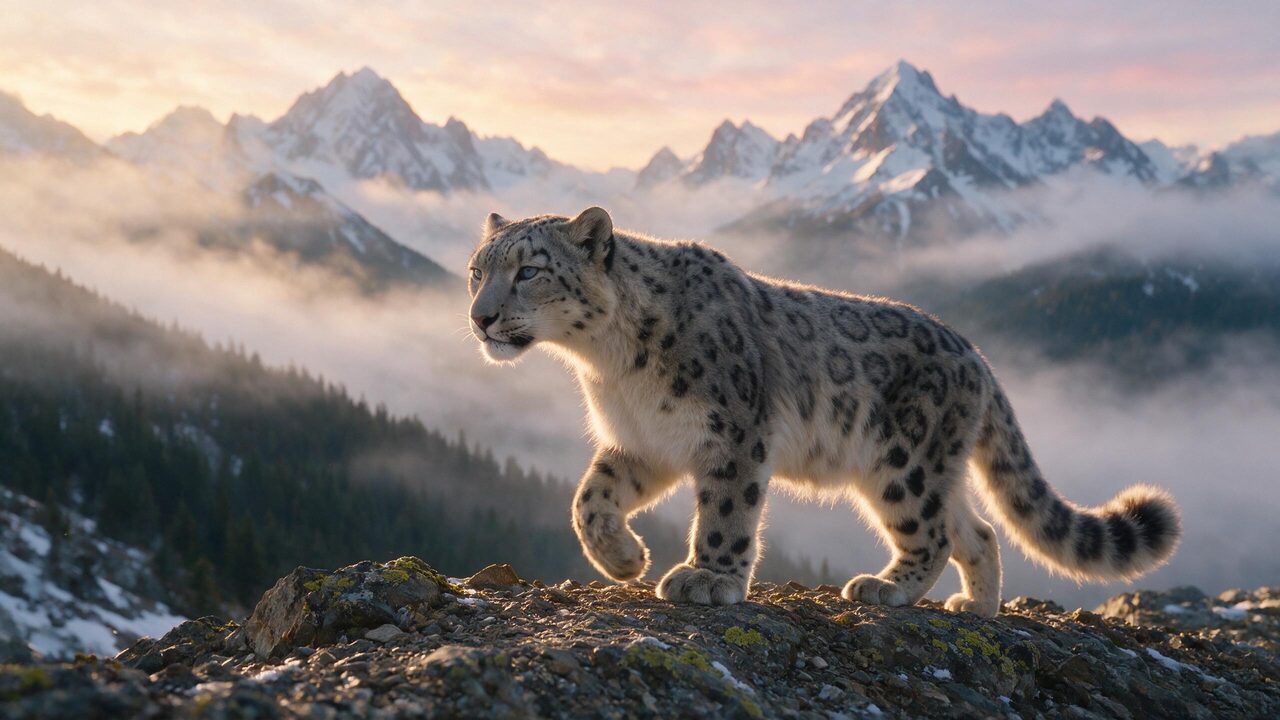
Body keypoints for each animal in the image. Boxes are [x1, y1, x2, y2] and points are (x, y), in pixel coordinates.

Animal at [465, 206, 1181, 616]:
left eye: (529, 271)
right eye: (477, 270)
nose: (480, 318)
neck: (609, 364)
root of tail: (977, 355)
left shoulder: (732, 434)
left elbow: (726, 512)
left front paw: (707, 578)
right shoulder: (644, 442)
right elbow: (588, 498)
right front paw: (623, 559)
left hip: (903, 463)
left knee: (935, 532)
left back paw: (886, 589)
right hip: (930, 469)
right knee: (978, 531)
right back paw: (975, 610)